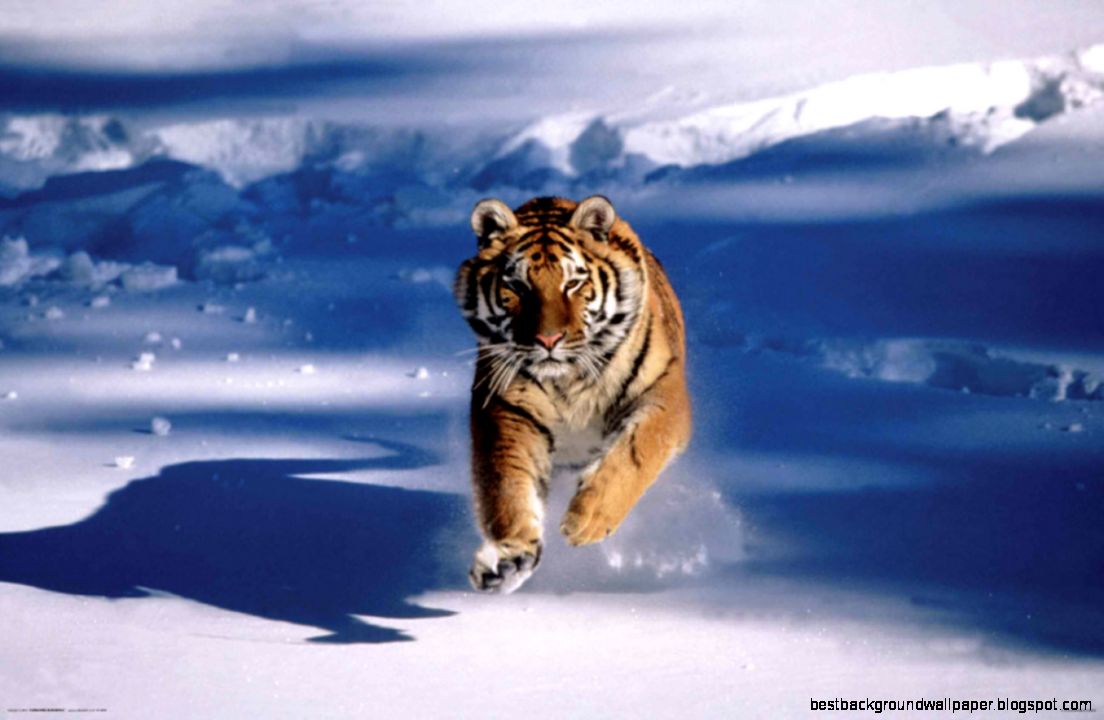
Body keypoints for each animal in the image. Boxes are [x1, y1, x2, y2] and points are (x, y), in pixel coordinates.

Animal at [454, 195, 691, 593]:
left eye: (573, 283)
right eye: (517, 286)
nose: (548, 340)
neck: (569, 380)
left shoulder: (664, 394)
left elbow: (636, 452)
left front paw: (588, 519)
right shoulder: (507, 408)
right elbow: (507, 484)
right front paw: (508, 558)